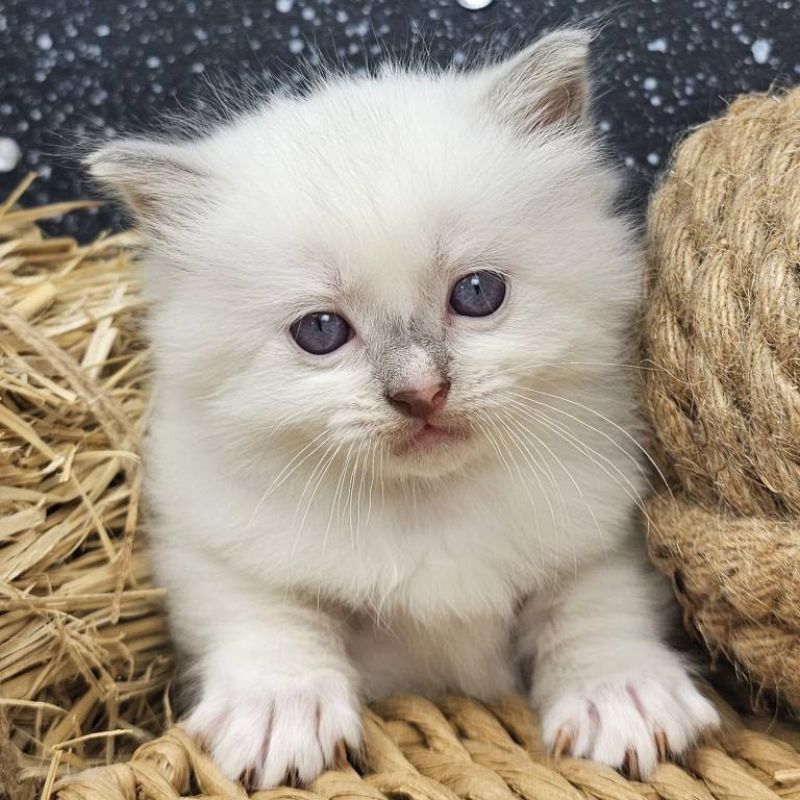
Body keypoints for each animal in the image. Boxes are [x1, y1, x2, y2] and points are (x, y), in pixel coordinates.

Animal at [87, 29, 720, 788]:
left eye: (477, 293)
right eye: (320, 332)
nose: (421, 393)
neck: (428, 506)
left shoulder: (609, 528)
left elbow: (596, 601)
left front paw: (621, 693)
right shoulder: (206, 537)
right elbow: (265, 611)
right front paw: (279, 711)